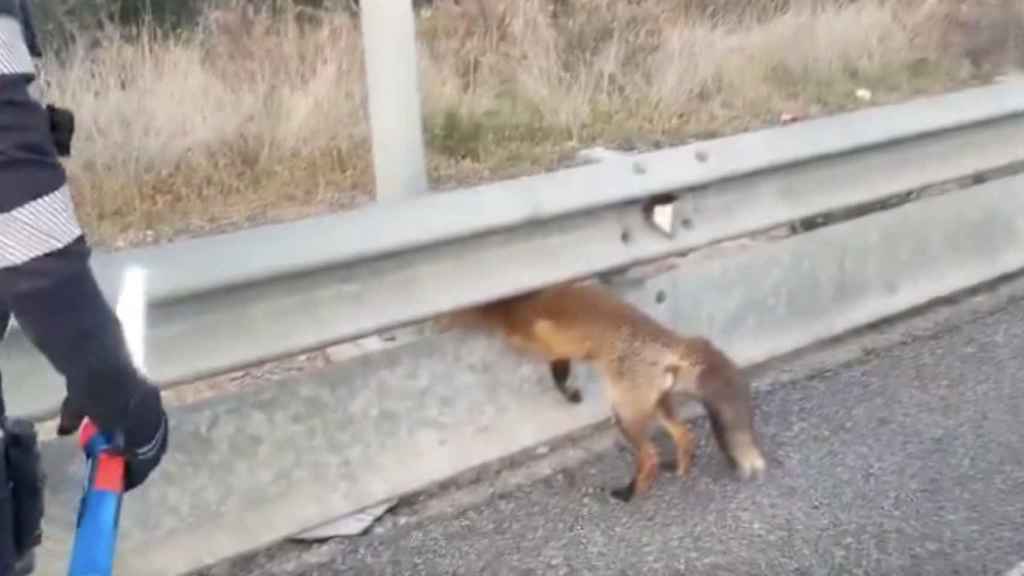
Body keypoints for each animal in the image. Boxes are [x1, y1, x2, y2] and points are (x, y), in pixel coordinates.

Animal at [442, 280, 770, 500]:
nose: (439, 319)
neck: (516, 305)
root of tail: (673, 343)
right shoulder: (557, 350)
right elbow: (560, 375)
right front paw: (572, 396)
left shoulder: (549, 344)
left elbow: (557, 373)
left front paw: (569, 393)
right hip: (657, 404)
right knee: (684, 435)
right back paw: (680, 469)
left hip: (624, 413)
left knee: (650, 456)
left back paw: (629, 493)